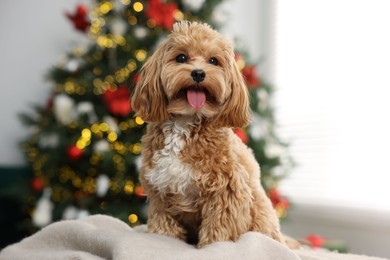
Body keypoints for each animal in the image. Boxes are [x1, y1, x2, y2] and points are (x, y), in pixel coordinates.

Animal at [133, 20, 288, 248]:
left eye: (213, 61)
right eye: (181, 58)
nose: (198, 73)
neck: (185, 121)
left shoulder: (226, 193)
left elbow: (218, 231)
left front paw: (211, 247)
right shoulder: (160, 195)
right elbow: (164, 229)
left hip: (261, 217)